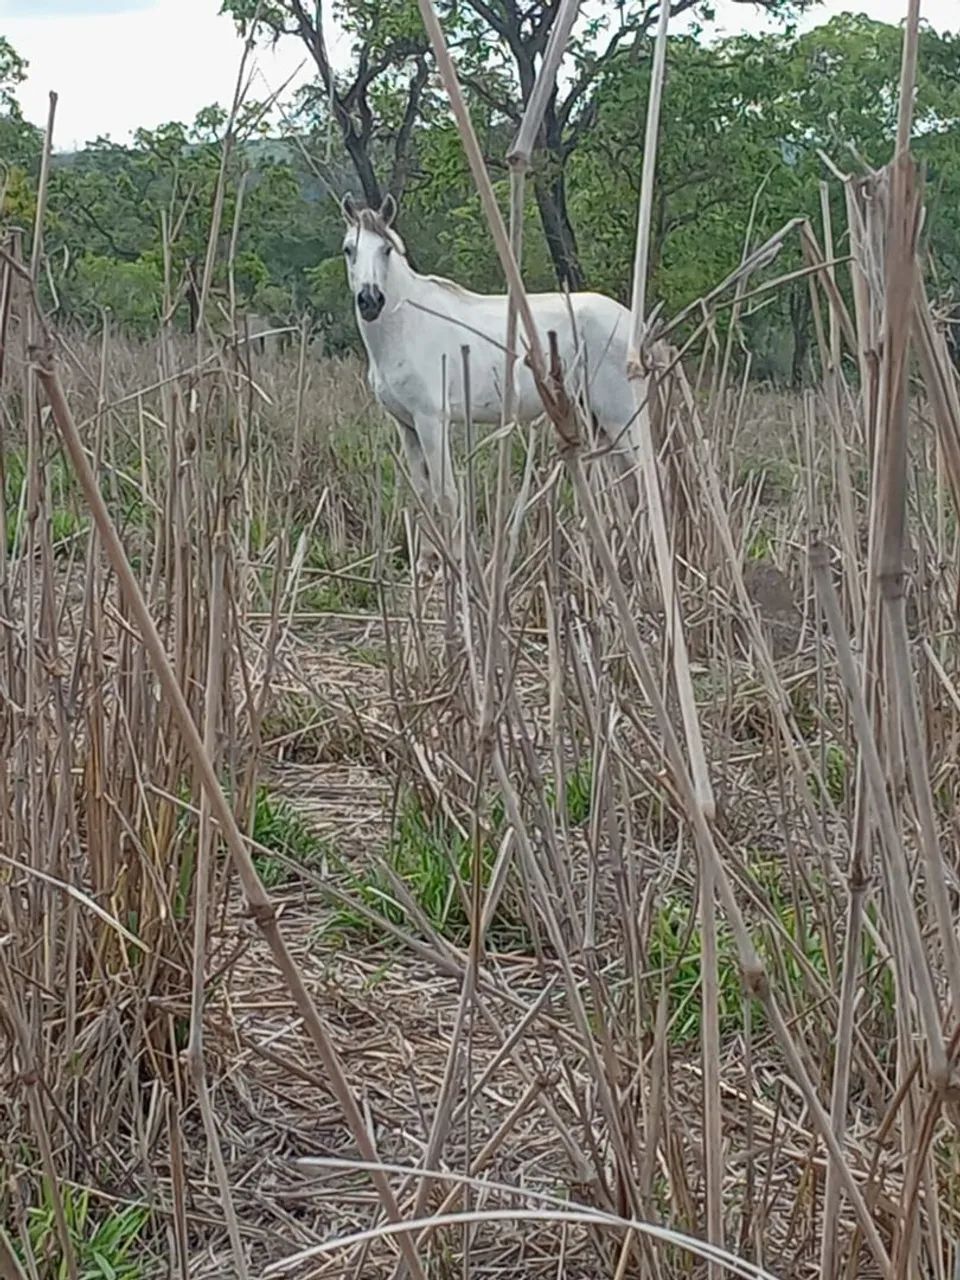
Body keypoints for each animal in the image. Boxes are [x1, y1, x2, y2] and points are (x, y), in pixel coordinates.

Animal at [340, 192, 643, 577]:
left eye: (386, 249)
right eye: (349, 249)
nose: (370, 301)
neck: (406, 325)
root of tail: (629, 321)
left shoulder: (431, 420)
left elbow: (446, 493)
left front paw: (452, 567)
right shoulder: (406, 425)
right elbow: (422, 493)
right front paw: (424, 564)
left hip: (620, 417)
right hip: (596, 419)